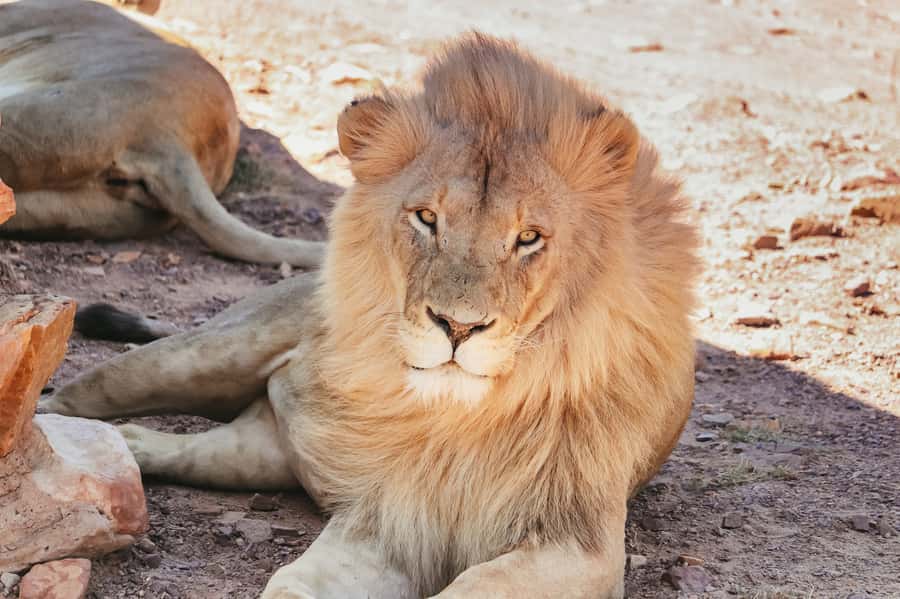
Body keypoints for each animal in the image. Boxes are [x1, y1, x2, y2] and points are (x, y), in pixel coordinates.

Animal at [42, 33, 699, 598]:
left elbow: (475, 587)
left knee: (142, 442)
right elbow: (294, 585)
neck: (463, 419)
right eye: (427, 218)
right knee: (71, 400)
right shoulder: (385, 517)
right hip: (192, 358)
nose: (458, 327)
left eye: (529, 237)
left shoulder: (578, 544)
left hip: (251, 456)